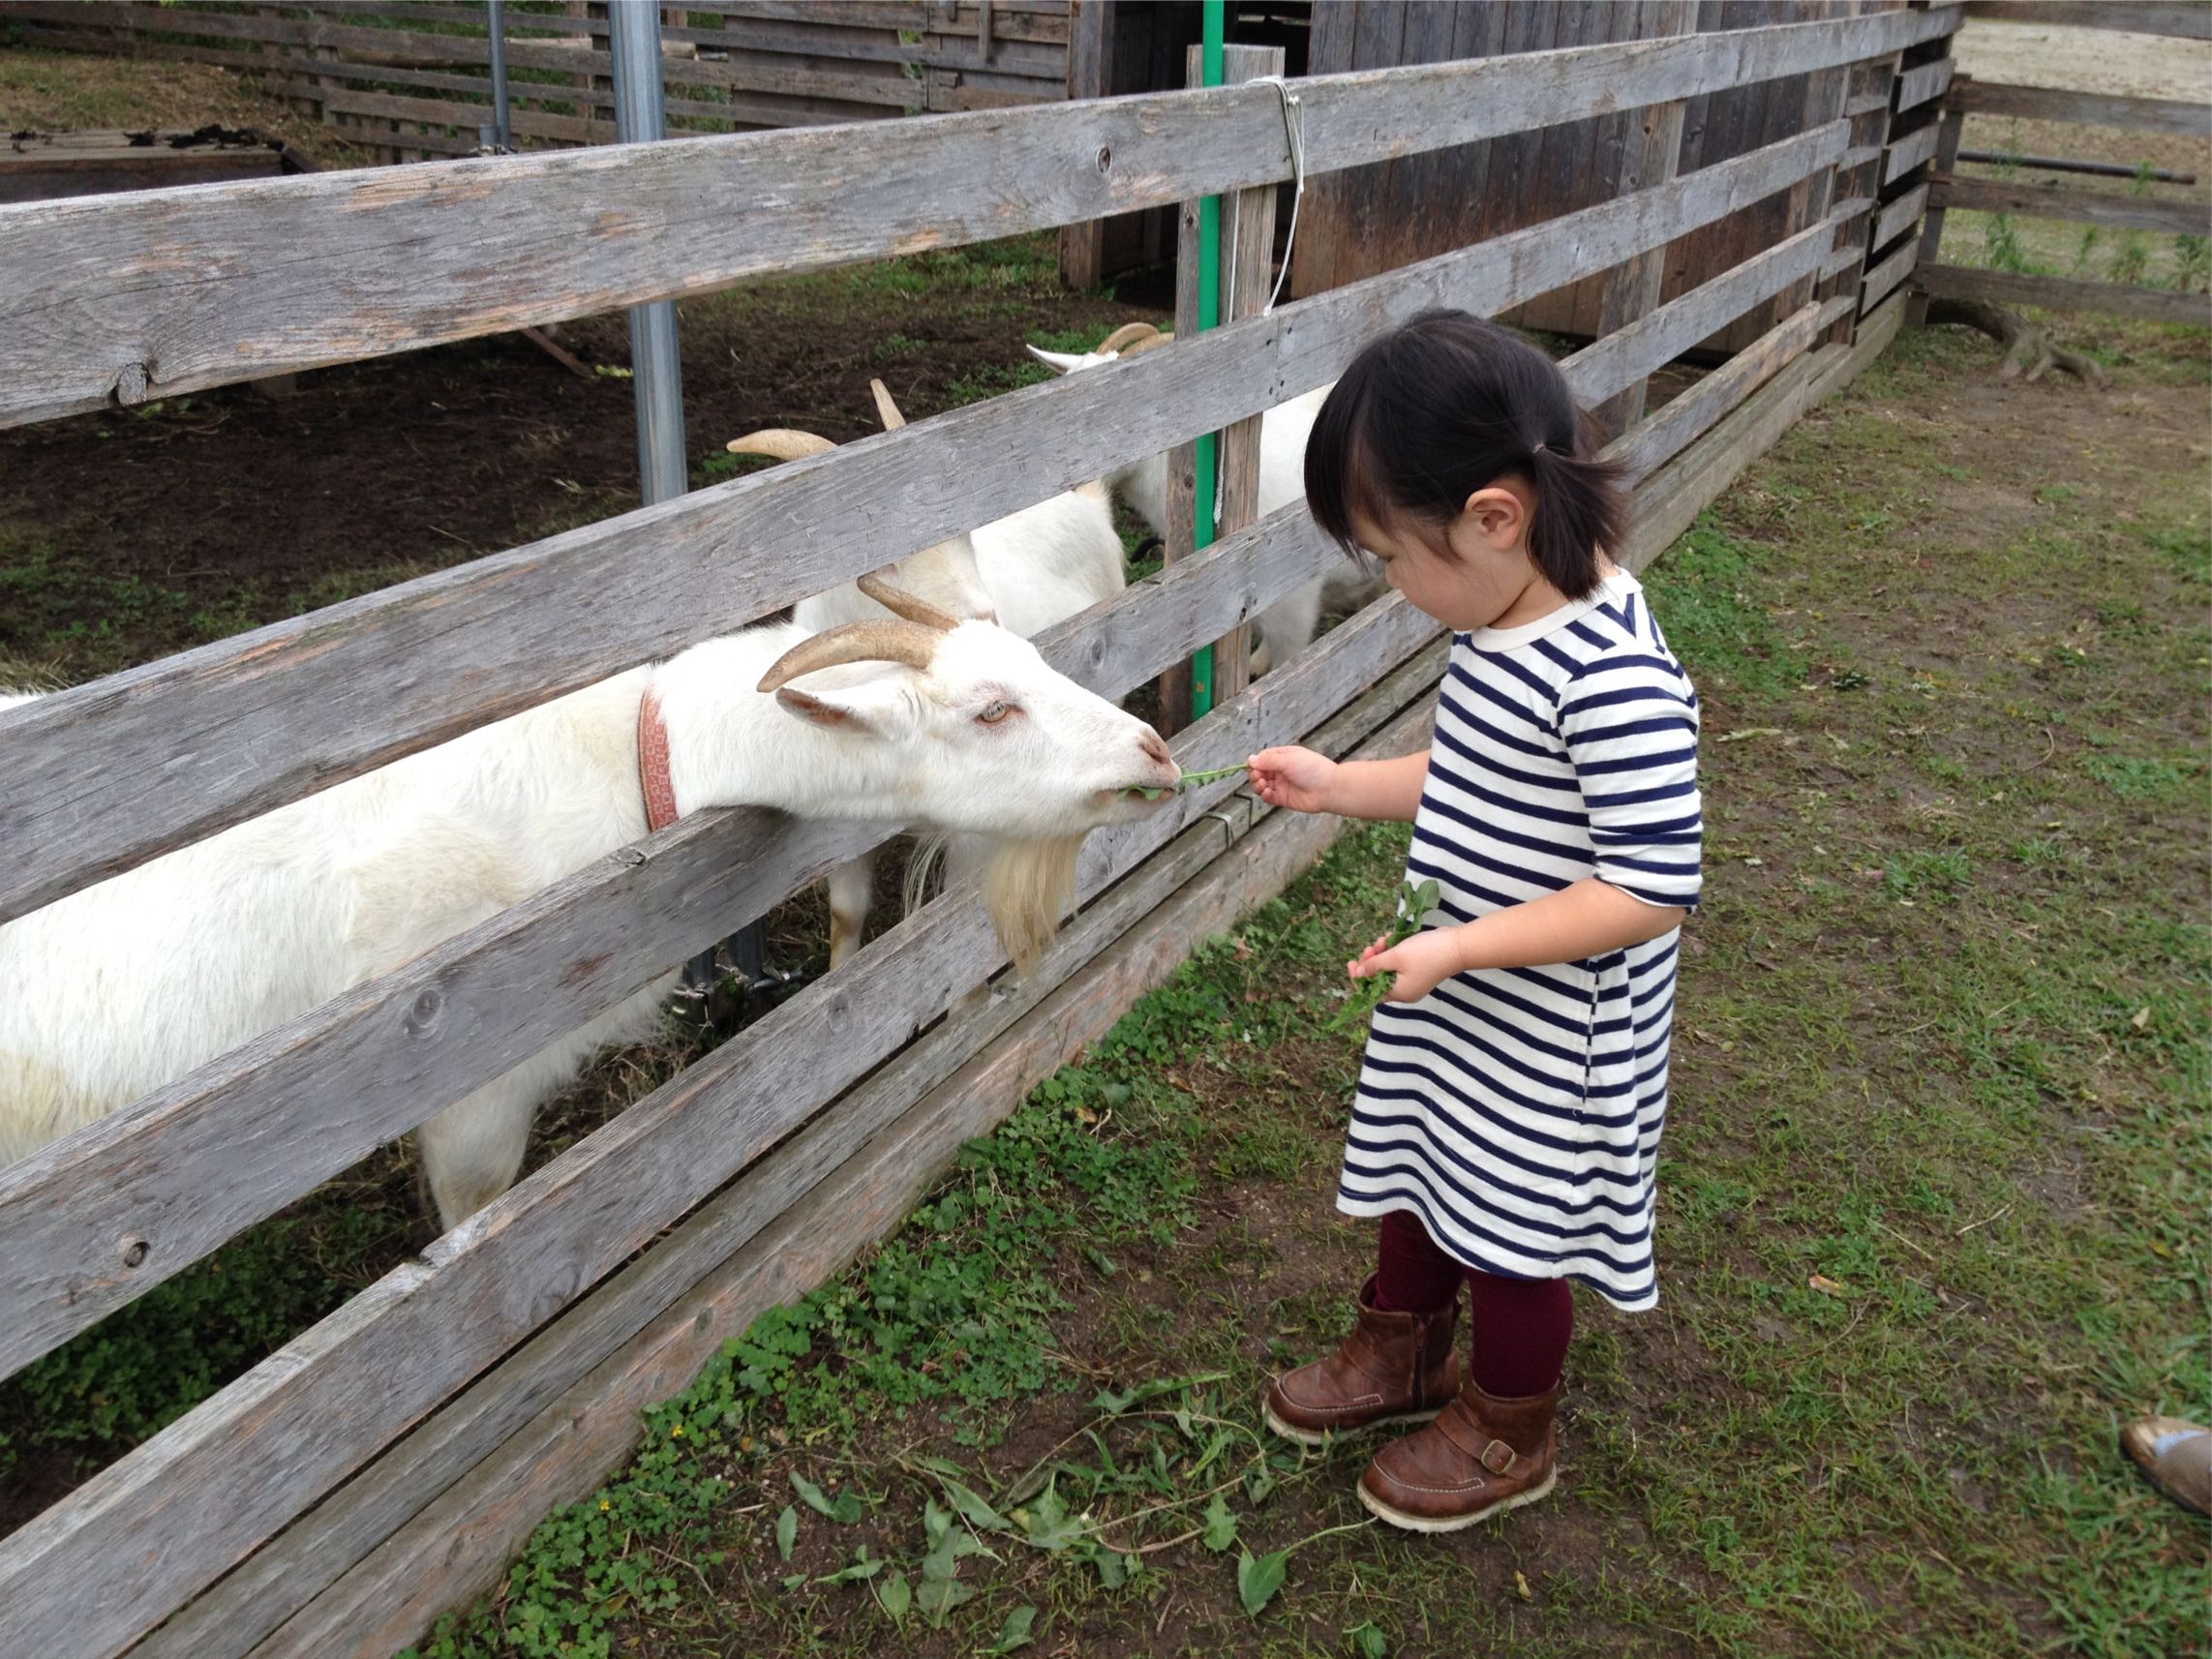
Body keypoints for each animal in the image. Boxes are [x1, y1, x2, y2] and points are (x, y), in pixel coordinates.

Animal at [730, 380, 1129, 968]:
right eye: (882, 560)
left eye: (965, 537)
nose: (983, 624)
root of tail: (1087, 502)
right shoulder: (842, 825)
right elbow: (846, 915)